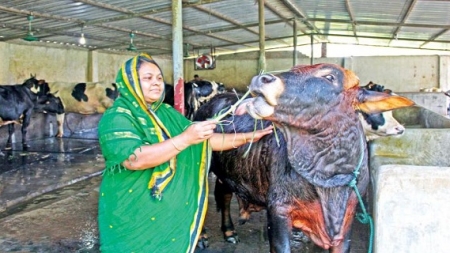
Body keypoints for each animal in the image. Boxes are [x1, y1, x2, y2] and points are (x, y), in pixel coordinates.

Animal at [195, 64, 414, 252]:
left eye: (329, 77)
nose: (262, 79)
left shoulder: (346, 220)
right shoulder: (279, 210)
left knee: (224, 194)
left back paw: (229, 232)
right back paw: (203, 237)